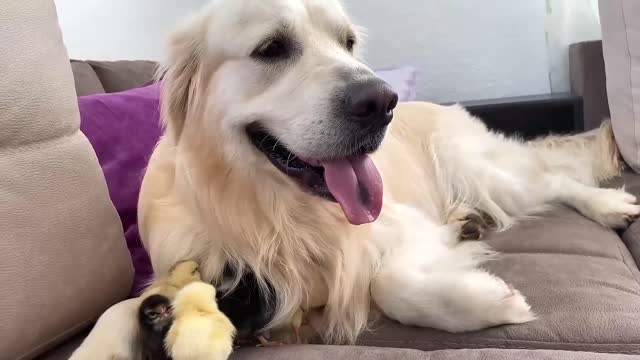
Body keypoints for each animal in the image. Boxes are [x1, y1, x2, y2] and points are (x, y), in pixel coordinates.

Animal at [72, 0, 636, 358]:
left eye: (347, 43)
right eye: (271, 48)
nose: (381, 102)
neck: (271, 211)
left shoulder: (397, 225)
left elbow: (386, 281)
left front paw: (486, 301)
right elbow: (115, 310)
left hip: (478, 166)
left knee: (553, 180)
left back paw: (609, 206)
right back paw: (469, 222)